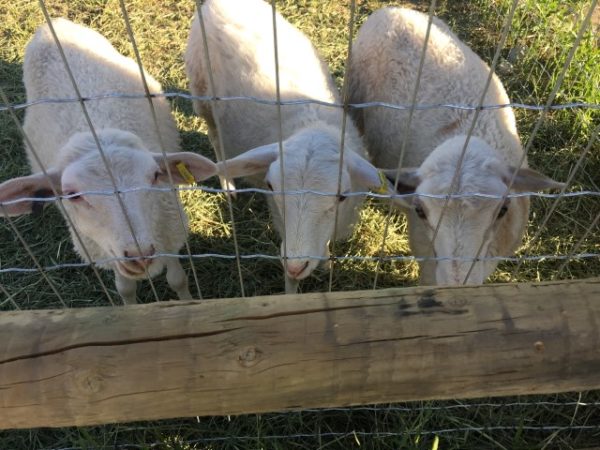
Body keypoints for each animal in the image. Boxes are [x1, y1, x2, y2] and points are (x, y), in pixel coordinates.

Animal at [0, 19, 218, 304]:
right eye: (72, 195)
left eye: (154, 176)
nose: (139, 255)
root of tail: (53, 23)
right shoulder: (106, 250)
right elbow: (125, 289)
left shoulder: (169, 234)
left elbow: (177, 279)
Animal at [184, 0, 390, 292]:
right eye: (271, 186)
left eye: (342, 196)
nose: (296, 265)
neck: (312, 125)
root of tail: (219, 4)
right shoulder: (282, 224)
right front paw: (291, 288)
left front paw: (325, 262)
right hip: (203, 97)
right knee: (215, 138)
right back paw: (228, 184)